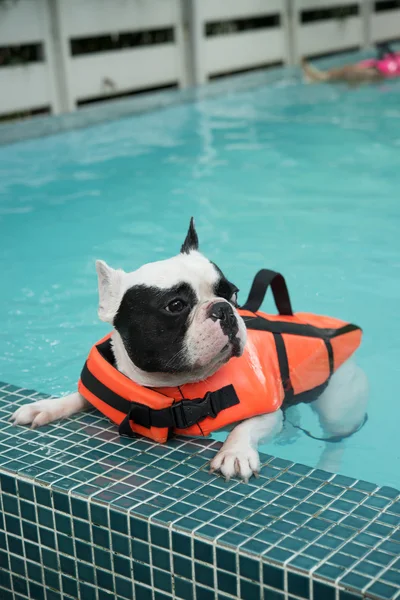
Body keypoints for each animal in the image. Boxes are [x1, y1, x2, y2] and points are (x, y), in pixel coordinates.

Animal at [10, 221, 368, 482]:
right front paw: (45, 406)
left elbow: (246, 426)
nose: (223, 309)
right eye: (176, 305)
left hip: (339, 402)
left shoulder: (268, 410)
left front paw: (234, 453)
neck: (173, 388)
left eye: (233, 293)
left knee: (337, 435)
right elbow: (83, 395)